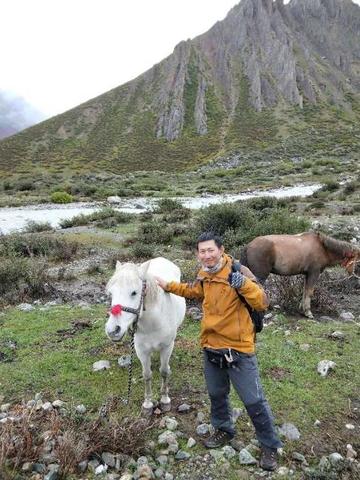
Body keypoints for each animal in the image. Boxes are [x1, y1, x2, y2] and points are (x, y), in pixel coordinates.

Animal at [105, 258, 186, 412]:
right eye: (111, 293)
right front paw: (148, 403)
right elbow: (147, 375)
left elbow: (164, 371)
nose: (113, 330)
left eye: (134, 292)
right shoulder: (141, 350)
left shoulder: (167, 347)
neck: (153, 323)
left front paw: (165, 400)